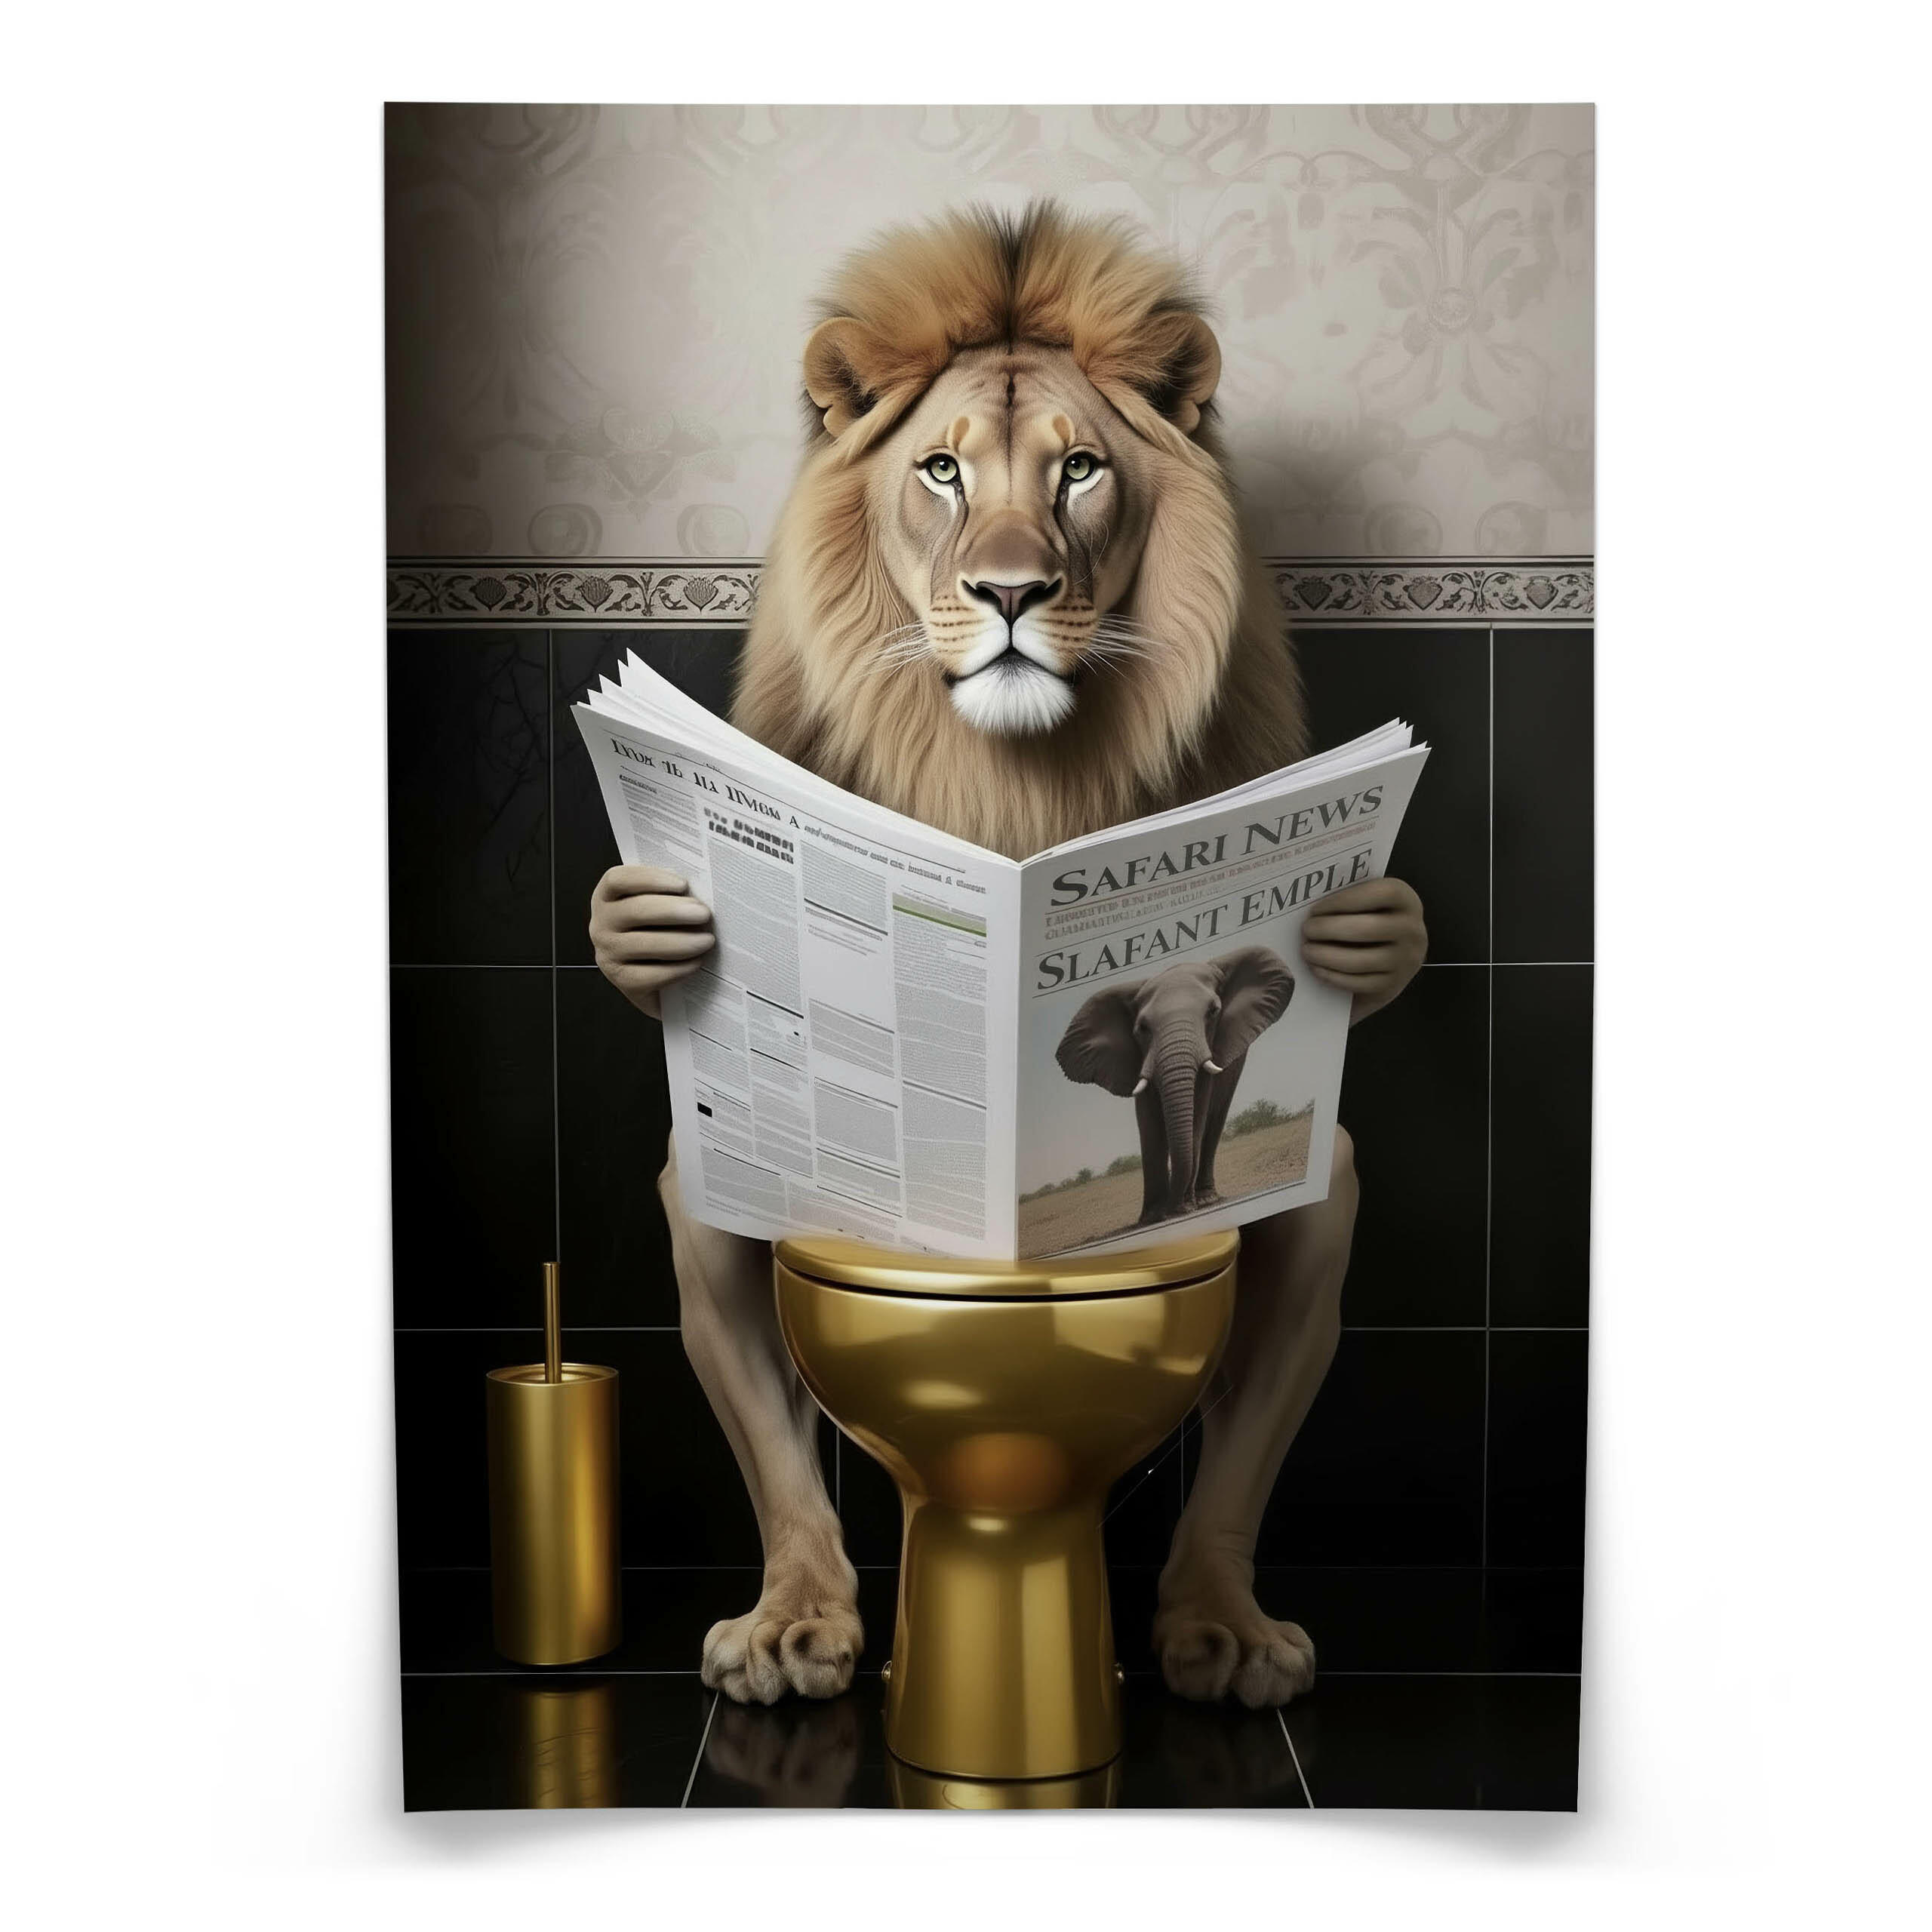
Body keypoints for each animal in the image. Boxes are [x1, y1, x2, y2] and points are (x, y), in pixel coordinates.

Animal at [590, 201, 1428, 1710]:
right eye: (942, 469)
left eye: (1079, 469)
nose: (1012, 590)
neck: (1007, 775)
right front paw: (647, 926)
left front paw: (1366, 931)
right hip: (745, 1182)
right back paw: (795, 1630)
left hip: (1307, 1198)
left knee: (1303, 1232)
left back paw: (1220, 1634)